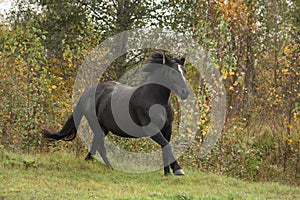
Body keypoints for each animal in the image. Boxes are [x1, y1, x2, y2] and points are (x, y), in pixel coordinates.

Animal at [42, 52, 190, 176]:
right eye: (172, 72)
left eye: (184, 71)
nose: (185, 92)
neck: (155, 100)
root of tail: (89, 92)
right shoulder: (151, 129)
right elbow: (167, 145)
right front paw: (178, 170)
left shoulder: (167, 128)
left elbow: (165, 147)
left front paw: (168, 173)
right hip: (96, 124)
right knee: (100, 146)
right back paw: (110, 167)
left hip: (104, 128)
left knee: (95, 145)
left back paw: (90, 162)